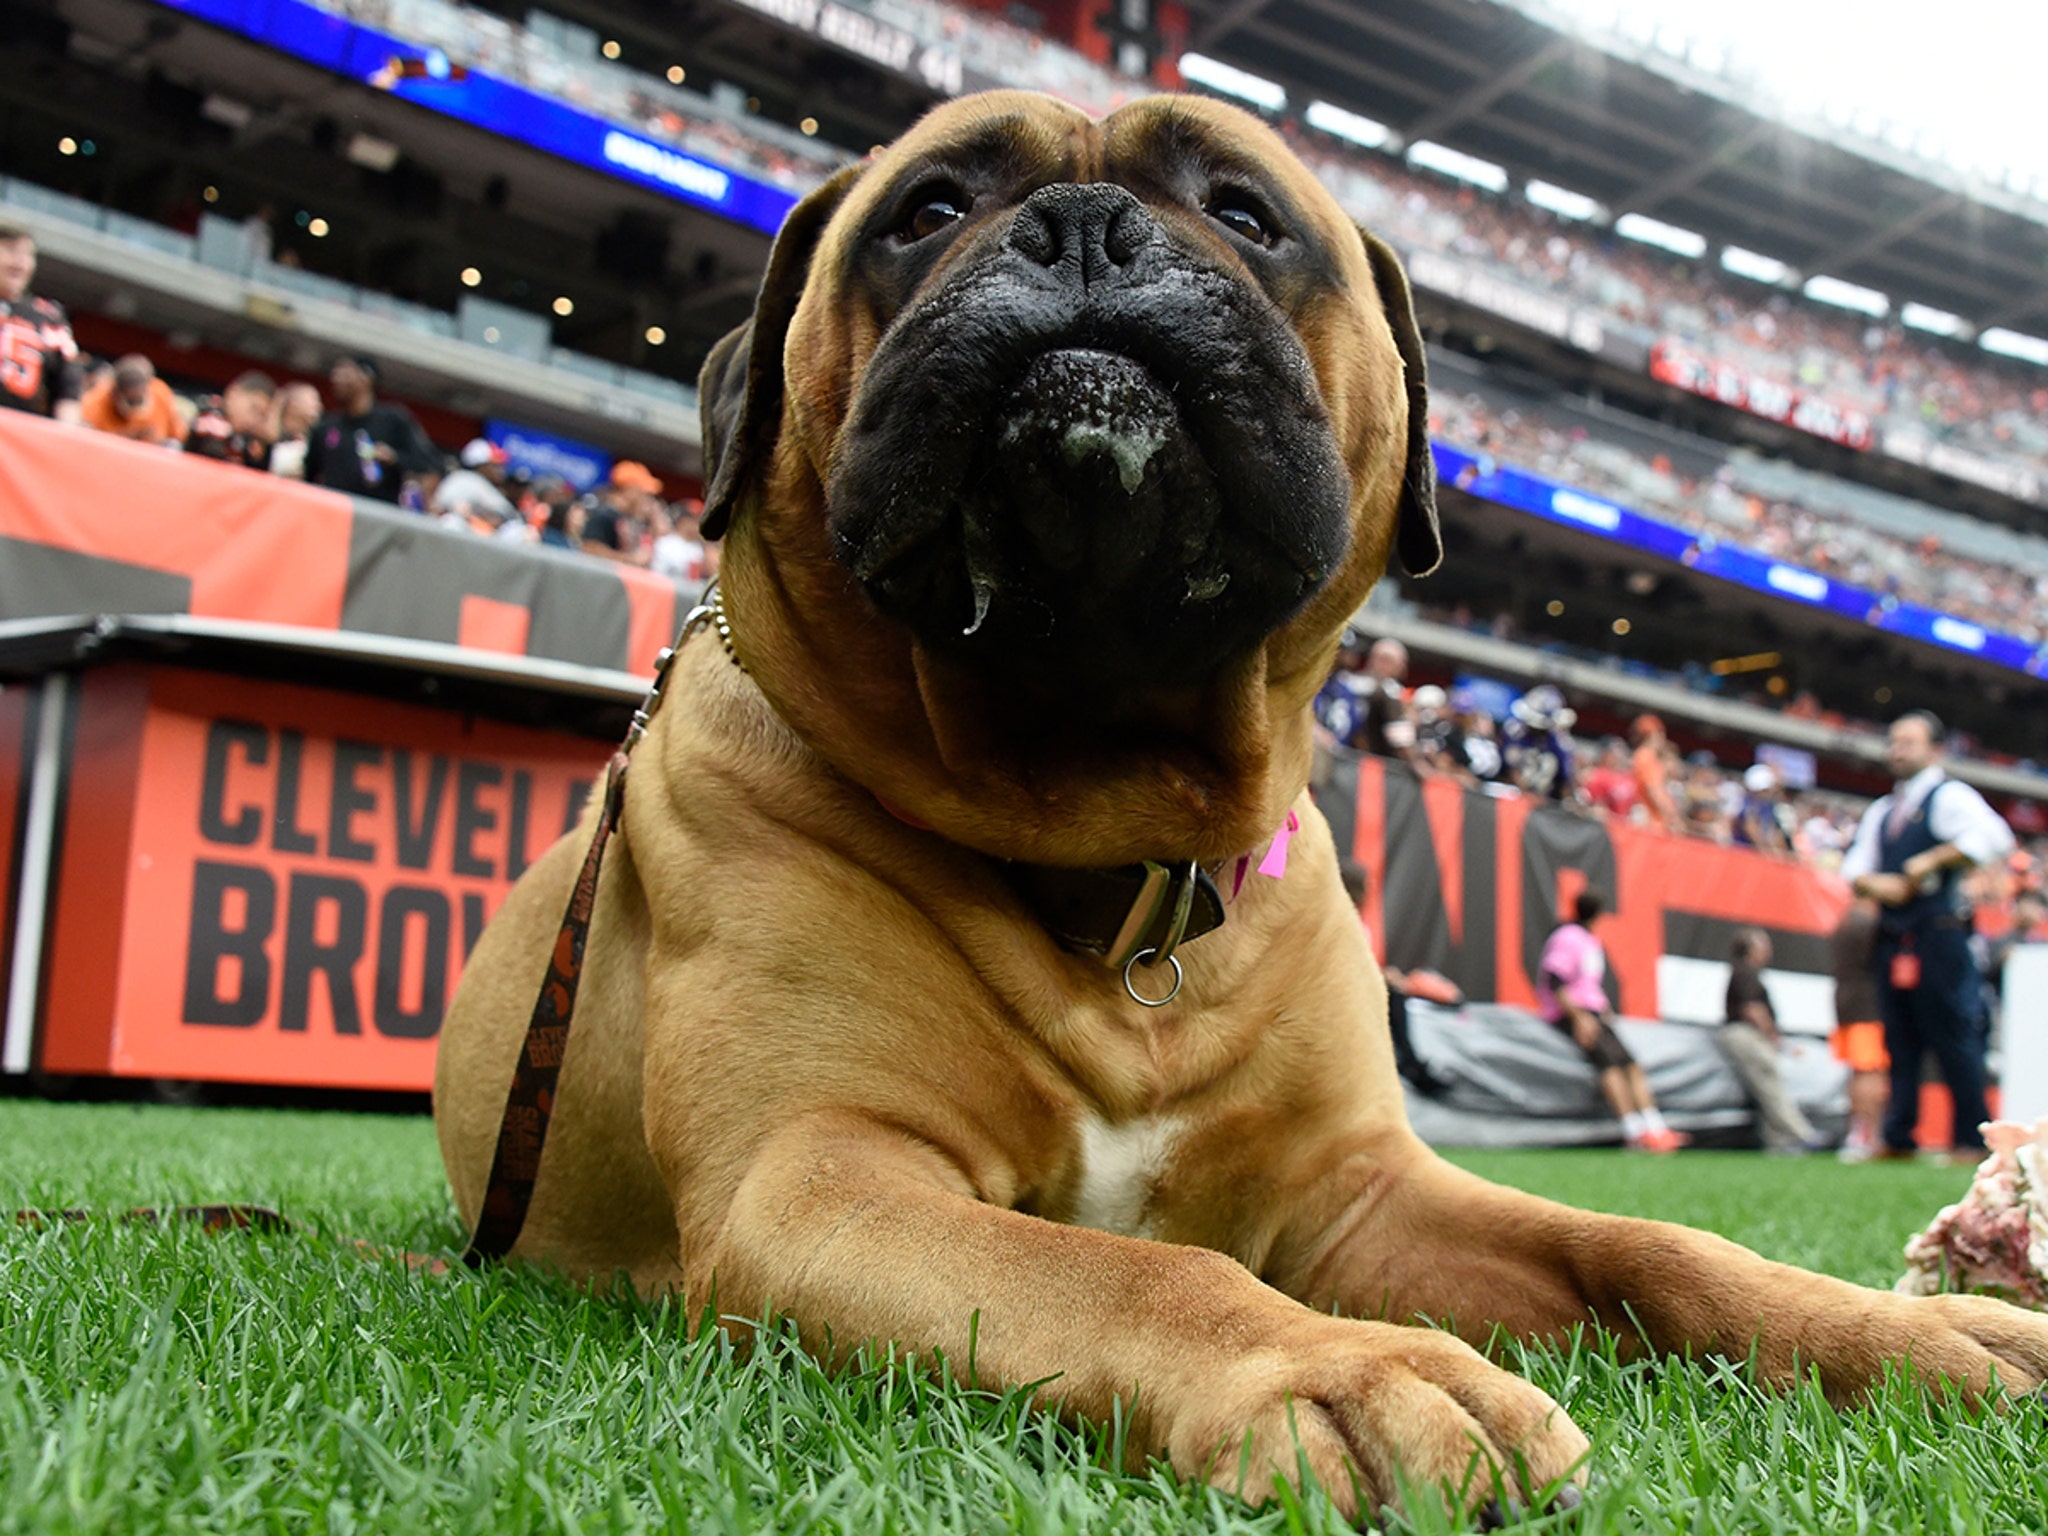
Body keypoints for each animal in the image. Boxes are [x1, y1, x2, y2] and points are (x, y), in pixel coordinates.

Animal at [440, 90, 2048, 1523]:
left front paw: (1914, 1331)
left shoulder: (1362, 1195)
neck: (1109, 840)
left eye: (1246, 211)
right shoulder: (820, 1175)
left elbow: (1647, 1246)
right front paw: (1339, 1368)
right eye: (929, 210)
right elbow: (1125, 1265)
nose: (1082, 226)